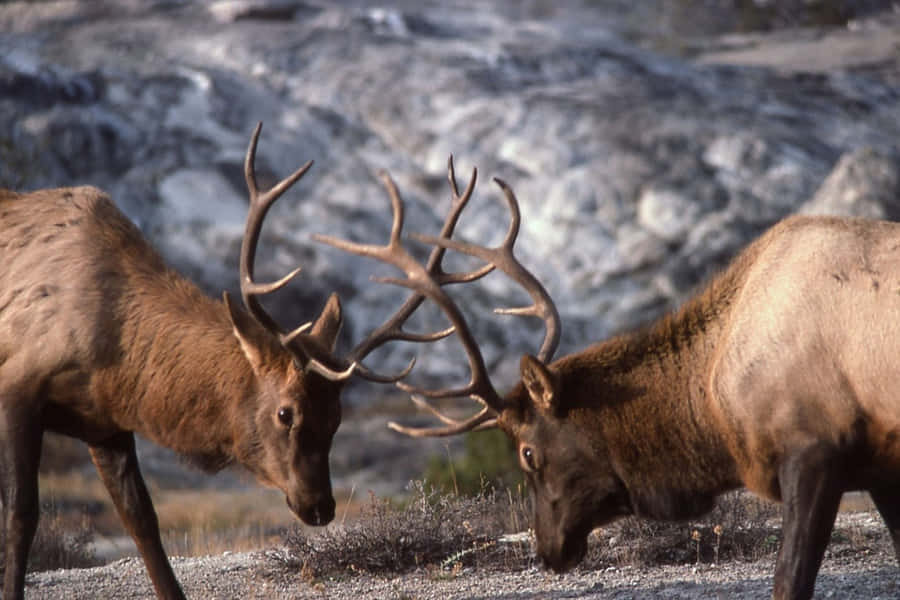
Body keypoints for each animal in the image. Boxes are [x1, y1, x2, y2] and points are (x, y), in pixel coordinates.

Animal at [0, 122, 478, 600]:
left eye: (337, 417)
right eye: (285, 412)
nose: (320, 506)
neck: (115, 360)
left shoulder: (105, 424)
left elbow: (143, 521)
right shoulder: (18, 389)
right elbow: (21, 515)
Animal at [319, 160, 900, 600]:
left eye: (528, 453)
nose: (548, 550)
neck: (716, 403)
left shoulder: (814, 449)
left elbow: (789, 582)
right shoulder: (877, 465)